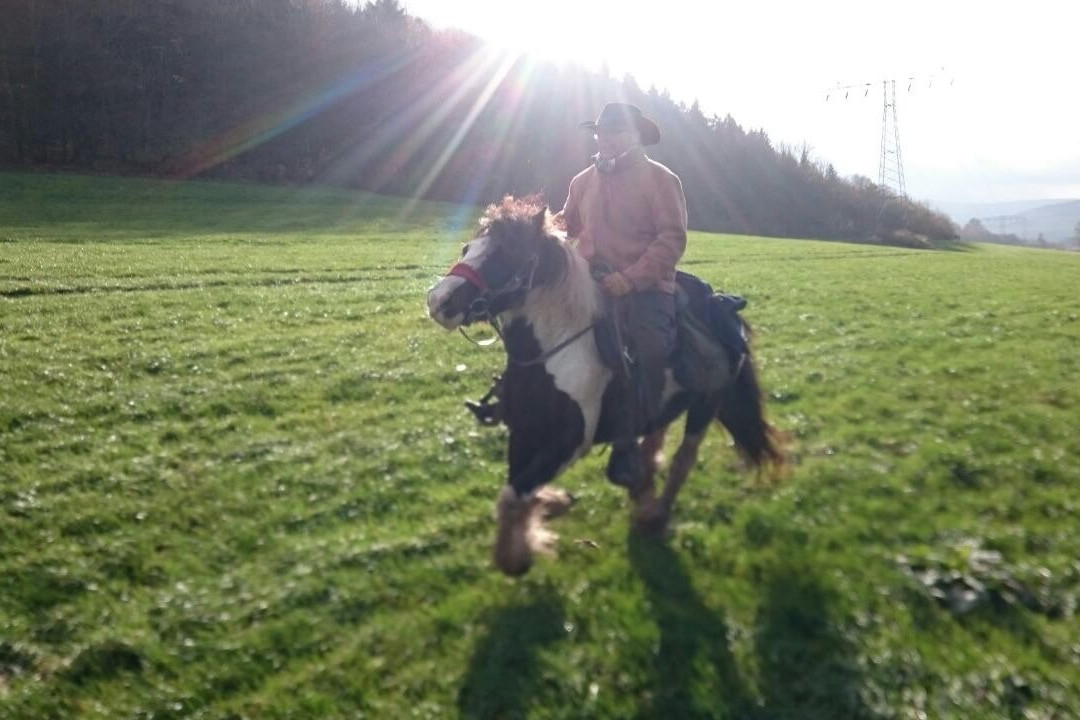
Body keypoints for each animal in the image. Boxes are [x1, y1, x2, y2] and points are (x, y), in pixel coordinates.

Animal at [425, 195, 781, 574]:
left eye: (505, 255)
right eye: (468, 248)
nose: (439, 301)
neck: (555, 352)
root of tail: (727, 310)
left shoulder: (571, 441)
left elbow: (514, 496)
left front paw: (518, 555)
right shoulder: (524, 433)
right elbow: (516, 491)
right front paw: (551, 507)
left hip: (705, 404)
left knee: (683, 459)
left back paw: (654, 516)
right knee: (652, 445)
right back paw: (641, 494)